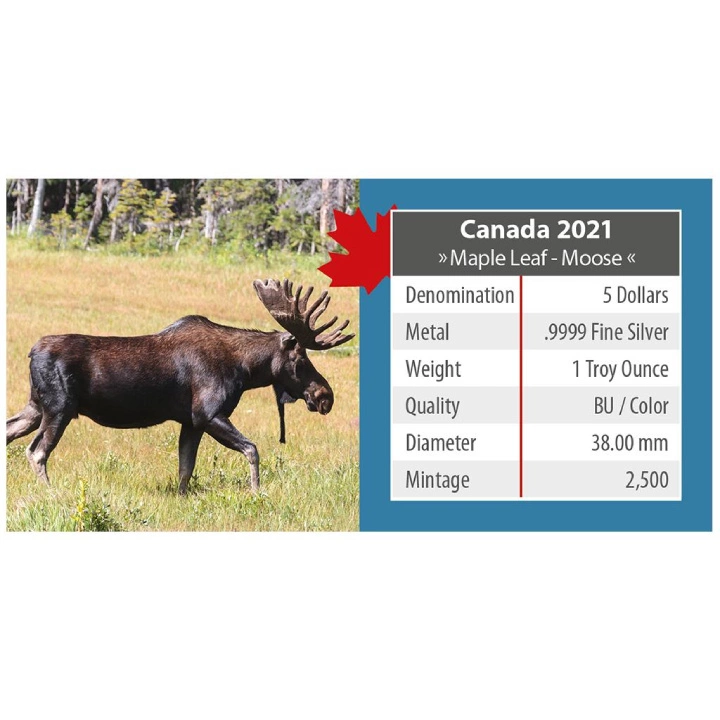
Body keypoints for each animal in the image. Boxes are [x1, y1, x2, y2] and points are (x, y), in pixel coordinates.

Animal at [5, 279, 354, 494]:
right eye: (300, 360)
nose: (325, 395)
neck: (245, 370)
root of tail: (32, 352)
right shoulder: (208, 413)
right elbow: (252, 450)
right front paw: (257, 492)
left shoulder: (191, 421)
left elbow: (185, 468)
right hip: (59, 408)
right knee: (36, 452)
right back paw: (51, 492)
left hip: (36, 406)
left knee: (10, 431)